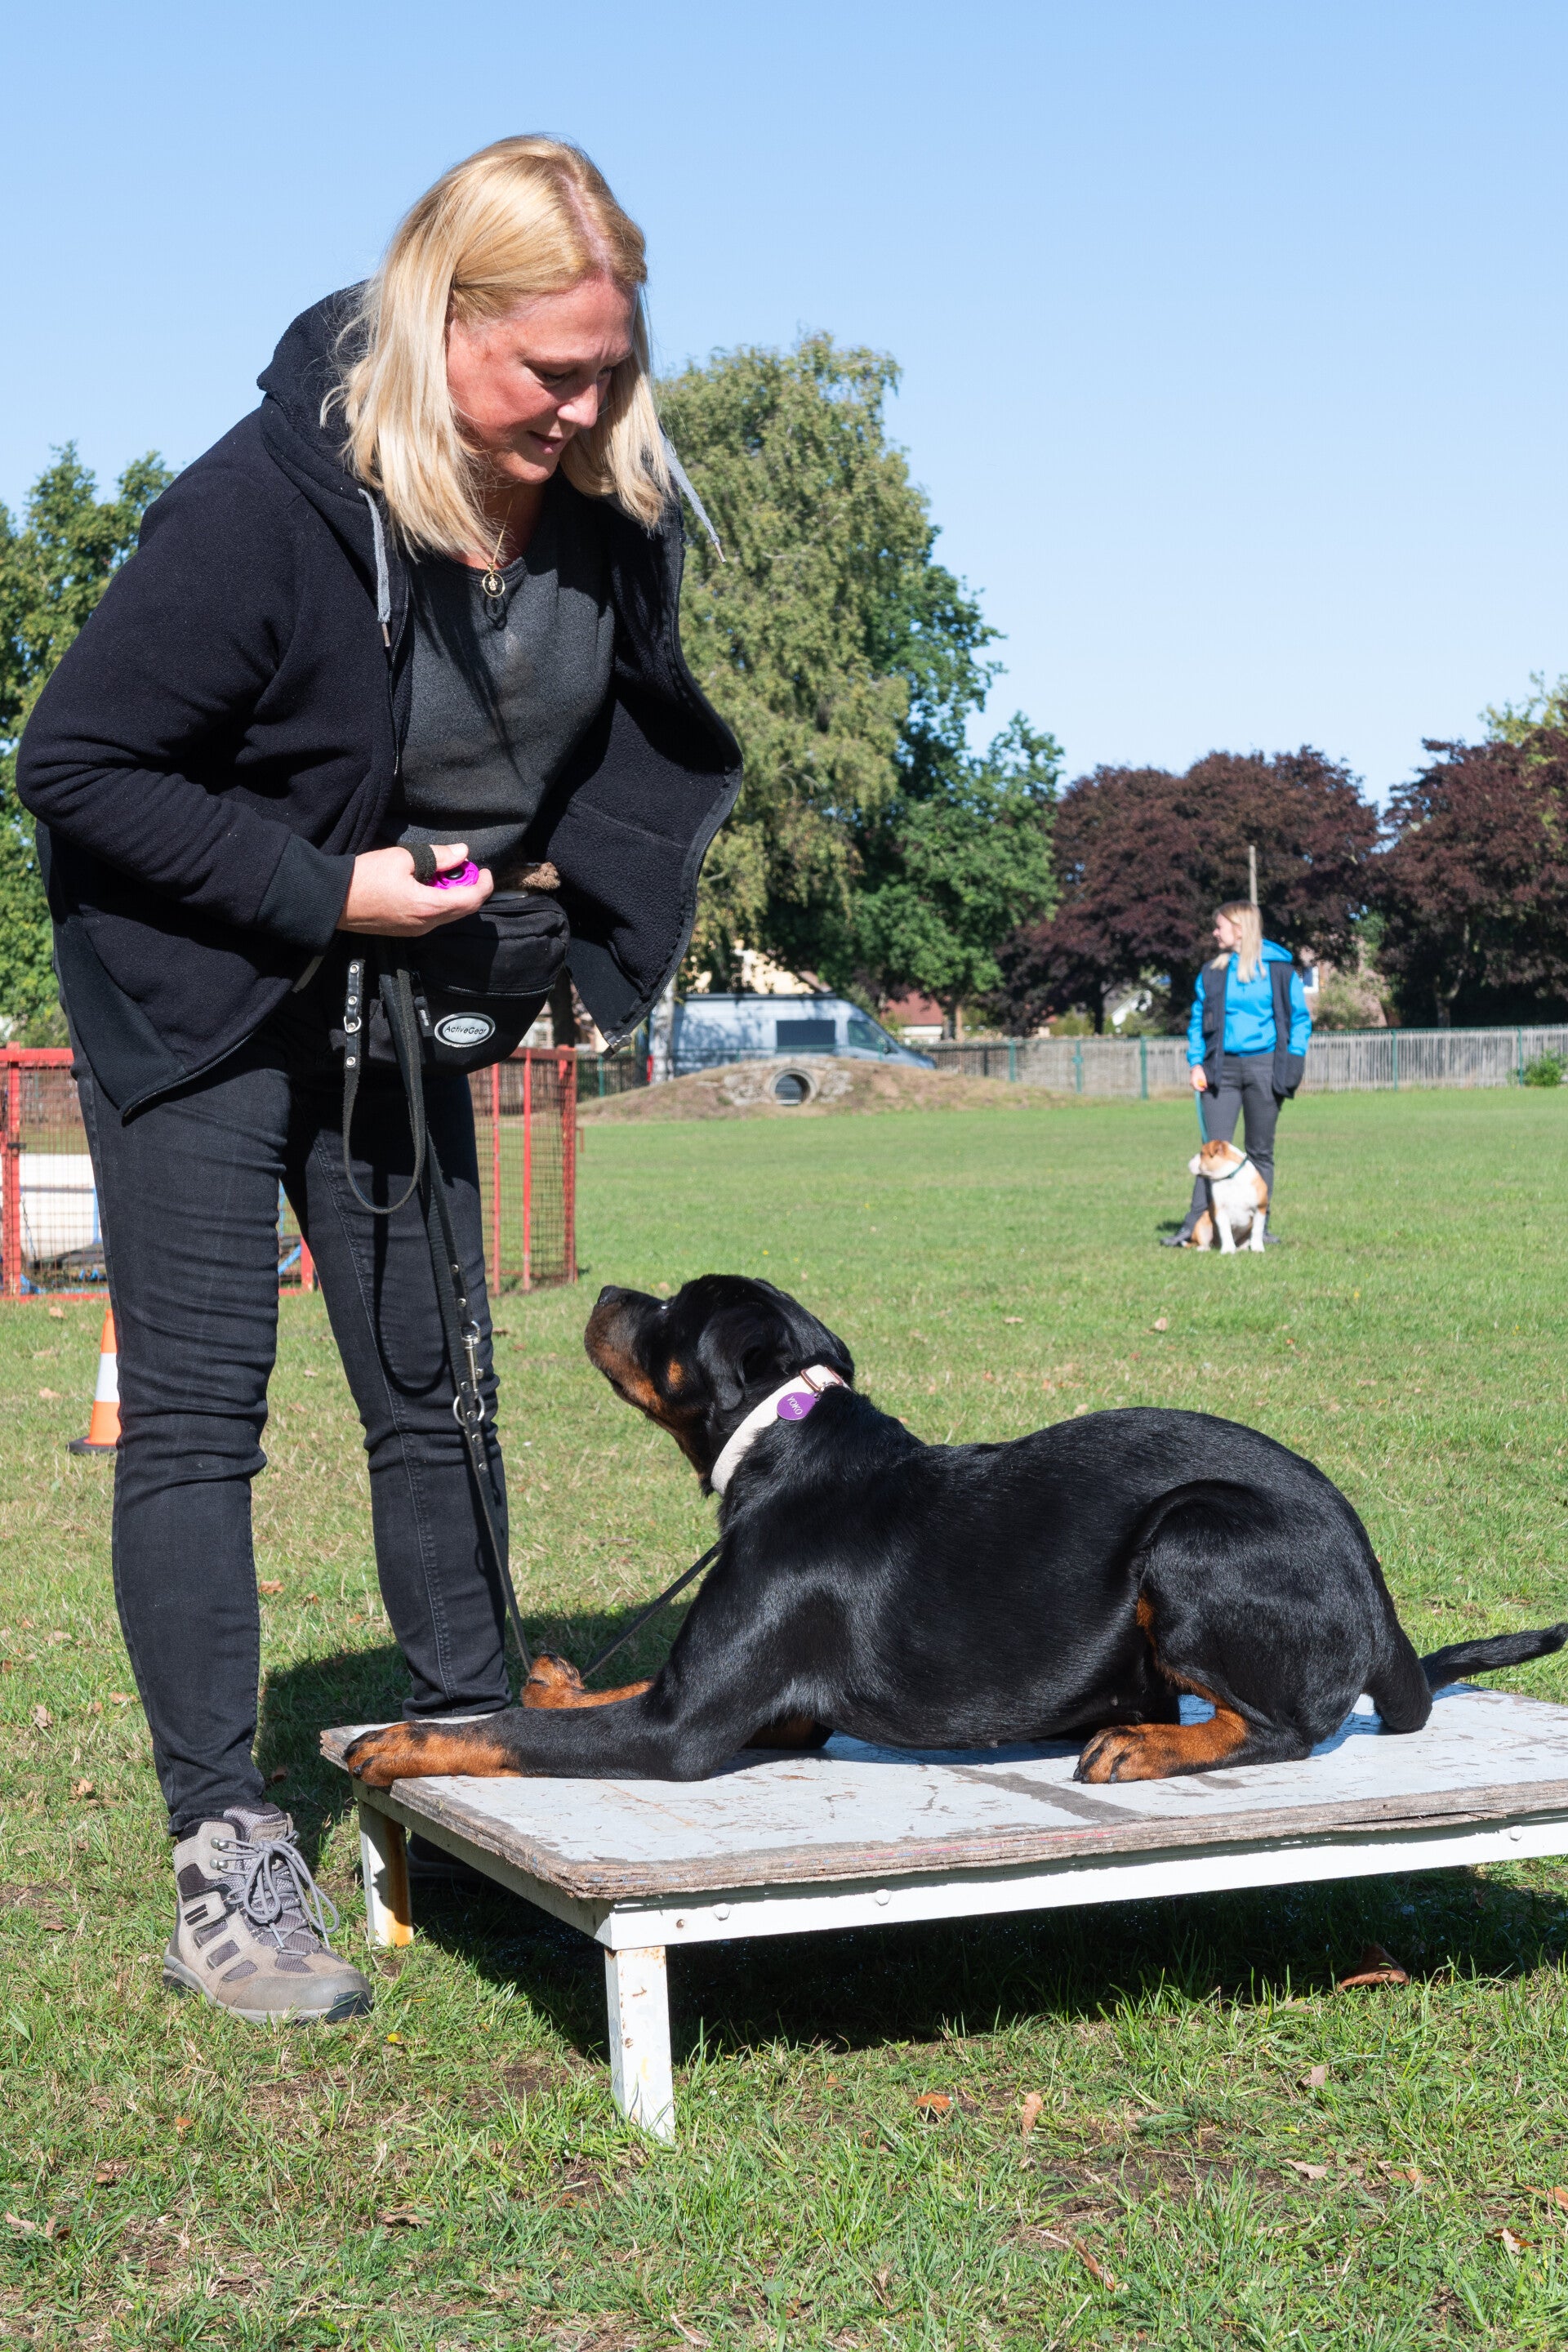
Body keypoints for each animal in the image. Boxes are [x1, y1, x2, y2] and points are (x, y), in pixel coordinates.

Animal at [343, 1276, 1564, 1791]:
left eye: (670, 1315)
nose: (600, 1289)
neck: (787, 1448)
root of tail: (1376, 1590)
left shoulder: (682, 1732)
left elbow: (509, 1733)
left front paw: (407, 1741)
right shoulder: (746, 1707)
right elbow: (586, 1697)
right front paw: (553, 1680)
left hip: (1194, 1530)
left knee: (1290, 1726)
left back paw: (1152, 1748)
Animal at [1187, 1139, 1268, 1252]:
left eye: (1202, 1153)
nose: (1191, 1157)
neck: (1230, 1178)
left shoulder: (1260, 1209)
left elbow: (1257, 1230)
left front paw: (1257, 1248)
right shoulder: (1221, 1211)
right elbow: (1225, 1231)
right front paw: (1228, 1250)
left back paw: (1242, 1248)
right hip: (1202, 1223)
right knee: (1205, 1242)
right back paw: (1203, 1249)